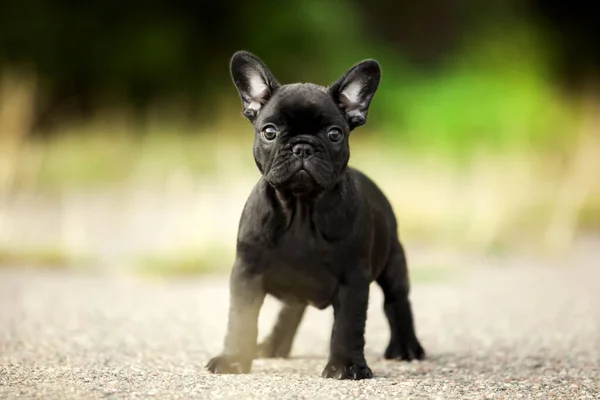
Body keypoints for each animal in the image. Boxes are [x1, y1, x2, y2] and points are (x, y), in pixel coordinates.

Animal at [209, 51, 424, 380]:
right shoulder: (247, 274)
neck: (301, 208)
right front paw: (233, 359)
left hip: (393, 261)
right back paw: (274, 345)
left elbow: (348, 325)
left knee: (397, 301)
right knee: (291, 310)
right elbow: (240, 320)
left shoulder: (353, 279)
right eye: (269, 132)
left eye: (334, 134)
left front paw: (347, 365)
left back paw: (407, 348)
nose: (302, 147)